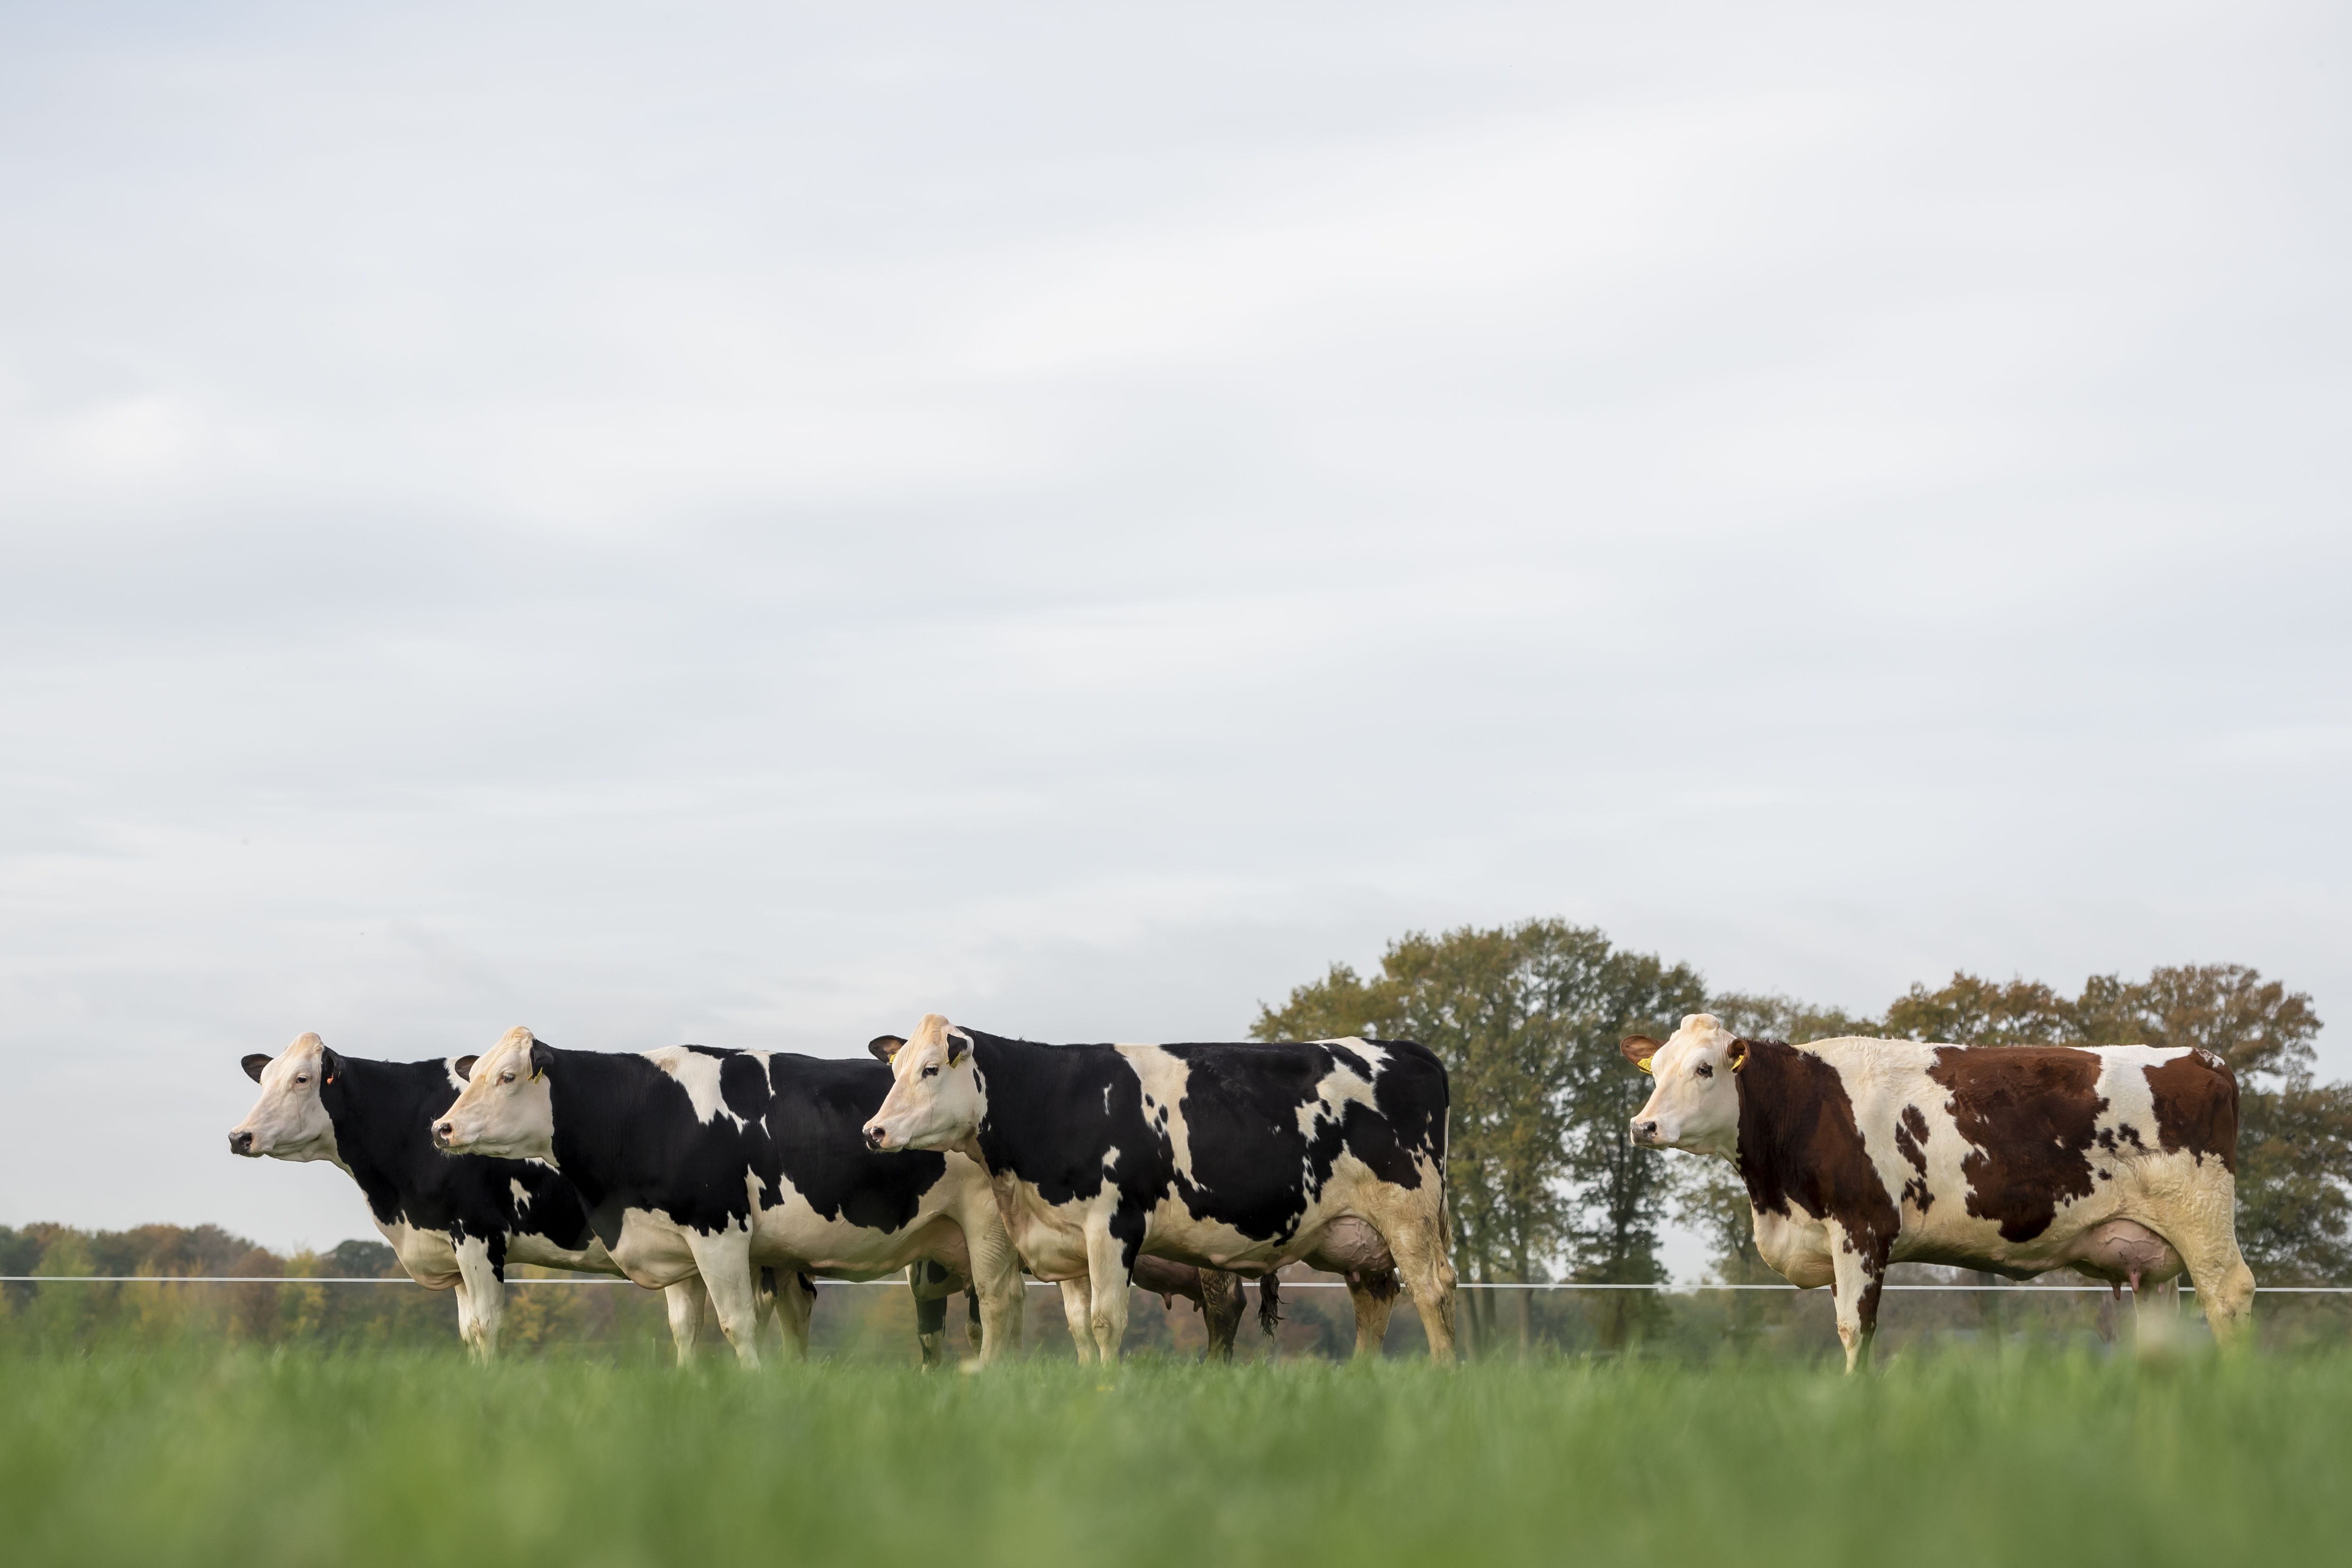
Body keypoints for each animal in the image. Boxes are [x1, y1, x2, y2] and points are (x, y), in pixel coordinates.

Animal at [227, 1029, 771, 1363]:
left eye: (302, 1079)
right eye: (266, 1078)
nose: (239, 1136)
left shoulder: (477, 1233)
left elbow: (487, 1327)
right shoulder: (450, 1247)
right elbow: (469, 1330)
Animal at [437, 1029, 1025, 1363]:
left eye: (507, 1077)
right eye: (475, 1074)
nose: (441, 1128)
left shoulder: (717, 1229)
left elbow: (736, 1323)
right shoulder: (676, 1241)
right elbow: (684, 1330)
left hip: (986, 1224)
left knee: (998, 1305)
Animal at [865, 1020, 1448, 1363]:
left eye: (931, 1069)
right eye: (893, 1070)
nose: (874, 1131)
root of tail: (1404, 1048)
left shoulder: (1112, 1226)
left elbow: (1106, 1322)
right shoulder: (1066, 1240)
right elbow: (1080, 1328)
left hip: (1409, 1215)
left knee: (1432, 1292)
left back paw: (1444, 1374)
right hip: (1356, 1239)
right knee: (1373, 1299)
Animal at [1618, 1020, 2258, 1373]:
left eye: (1704, 1069)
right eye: (1655, 1070)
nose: (1641, 1126)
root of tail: (2202, 1058)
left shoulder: (1862, 1227)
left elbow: (1855, 1329)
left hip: (2202, 1221)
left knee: (2228, 1296)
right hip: (2150, 1255)